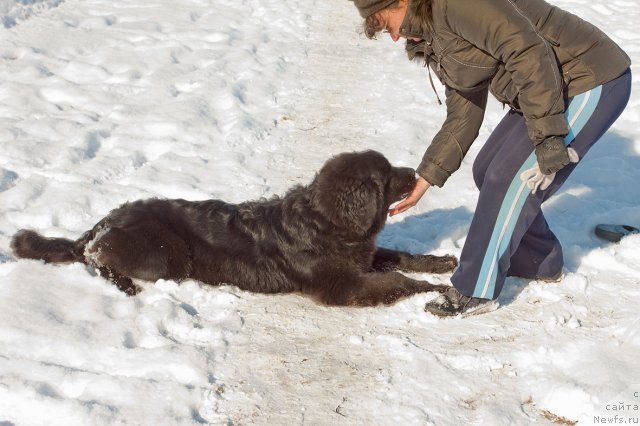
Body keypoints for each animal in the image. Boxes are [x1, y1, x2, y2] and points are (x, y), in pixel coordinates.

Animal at [10, 151, 456, 304]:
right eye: (386, 175)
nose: (415, 173)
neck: (327, 222)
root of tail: (102, 221)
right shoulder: (342, 284)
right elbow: (395, 279)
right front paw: (434, 289)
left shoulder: (363, 256)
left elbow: (401, 256)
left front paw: (441, 263)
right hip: (163, 253)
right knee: (94, 257)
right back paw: (125, 285)